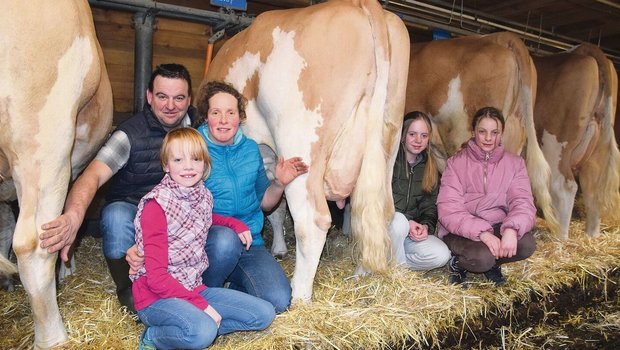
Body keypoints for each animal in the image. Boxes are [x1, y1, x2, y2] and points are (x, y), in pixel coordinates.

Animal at [201, 0, 410, 300]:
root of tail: (359, 3)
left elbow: (275, 208)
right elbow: (275, 206)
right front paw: (279, 248)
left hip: (301, 141)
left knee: (312, 220)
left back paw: (299, 295)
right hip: (388, 140)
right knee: (378, 213)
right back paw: (362, 274)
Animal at [532, 43, 620, 239]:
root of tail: (582, 49)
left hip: (554, 144)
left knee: (564, 186)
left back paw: (560, 236)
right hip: (598, 148)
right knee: (592, 188)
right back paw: (592, 235)